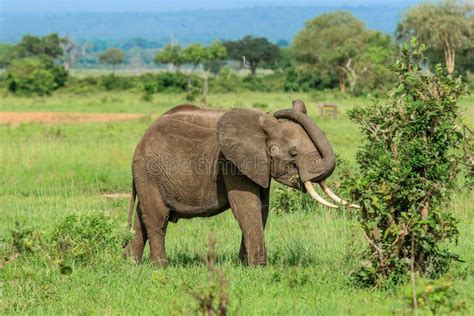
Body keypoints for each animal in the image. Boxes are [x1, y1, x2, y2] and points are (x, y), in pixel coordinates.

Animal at [124, 99, 358, 266]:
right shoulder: (230, 163)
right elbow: (246, 207)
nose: (287, 106)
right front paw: (259, 268)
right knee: (157, 217)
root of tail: (140, 141)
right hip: (149, 171)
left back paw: (131, 264)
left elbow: (262, 209)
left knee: (142, 218)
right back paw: (160, 267)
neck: (263, 130)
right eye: (293, 153)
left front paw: (244, 265)